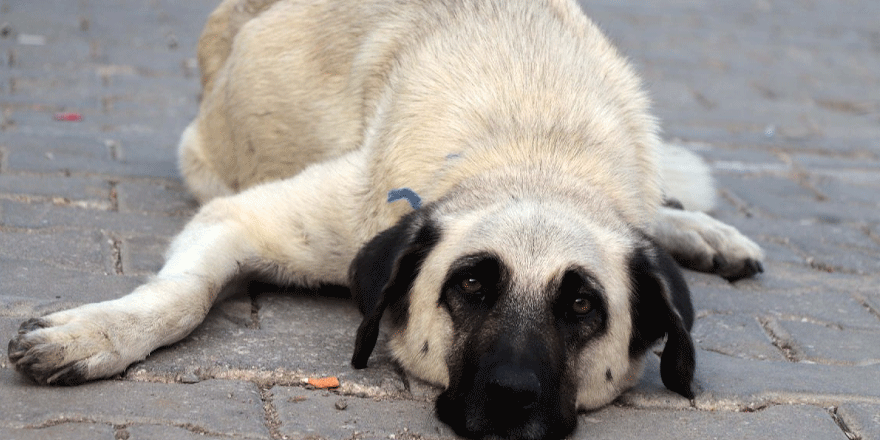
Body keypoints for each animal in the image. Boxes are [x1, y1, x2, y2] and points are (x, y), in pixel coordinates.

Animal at [6, 0, 764, 438]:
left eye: (582, 305)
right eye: (469, 286)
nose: (511, 396)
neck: (537, 149)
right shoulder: (244, 214)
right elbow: (181, 297)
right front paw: (99, 332)